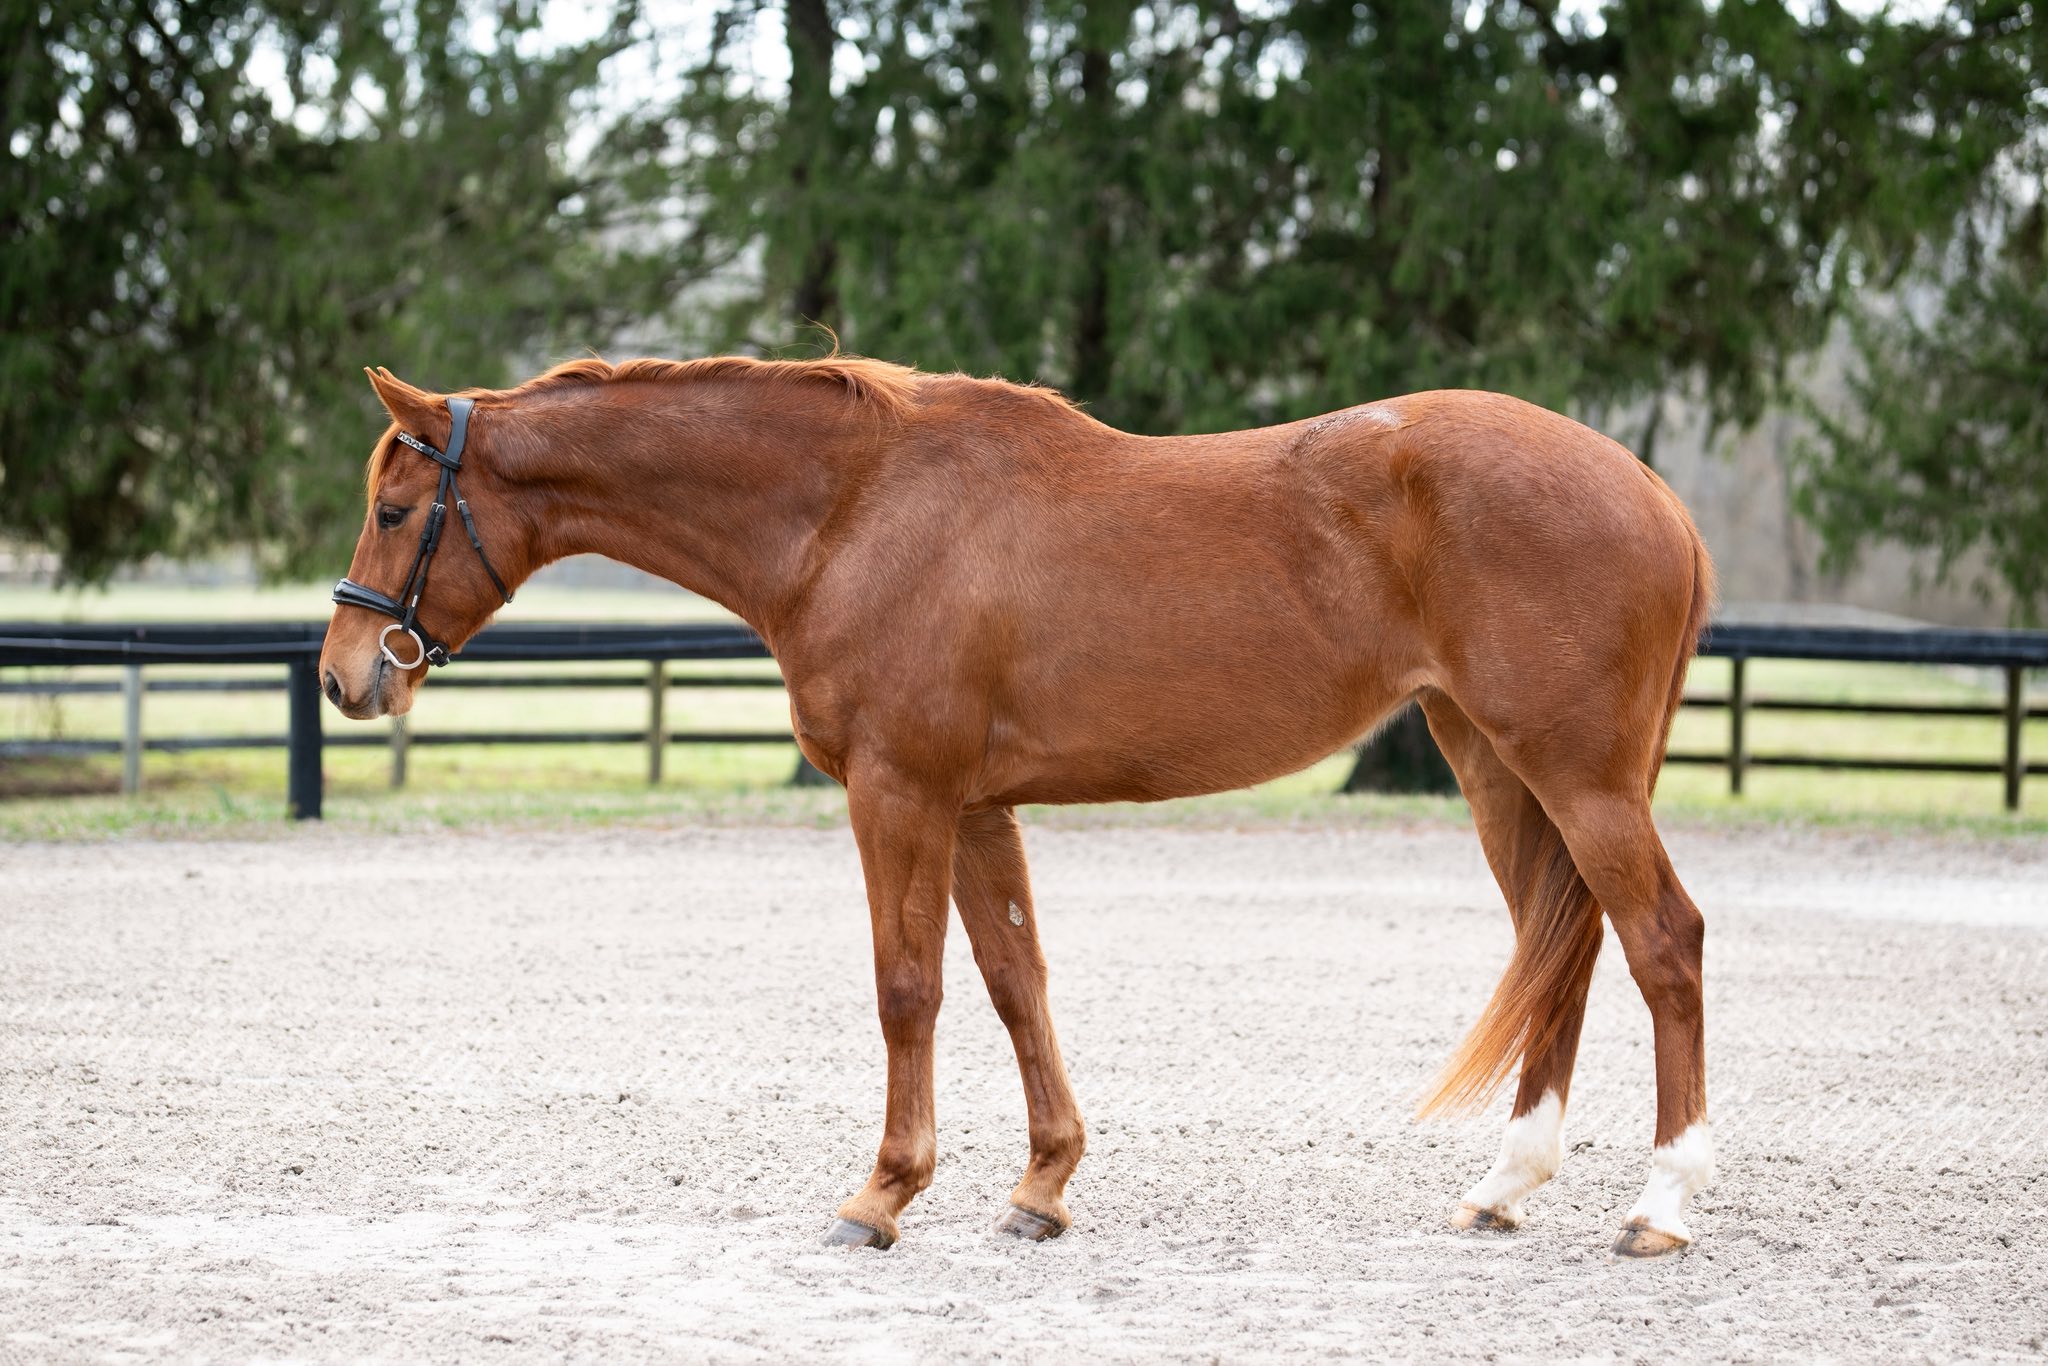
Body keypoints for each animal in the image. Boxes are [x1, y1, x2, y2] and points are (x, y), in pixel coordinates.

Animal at [319, 355, 1716, 1259]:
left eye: (395, 508)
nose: (343, 677)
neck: (850, 512)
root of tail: (1654, 493)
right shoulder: (978, 807)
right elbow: (1012, 981)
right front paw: (1039, 1187)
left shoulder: (899, 791)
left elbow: (908, 987)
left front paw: (881, 1195)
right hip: (1495, 766)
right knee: (1561, 950)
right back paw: (1504, 1185)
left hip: (1574, 777)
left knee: (1662, 945)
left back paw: (1658, 1207)